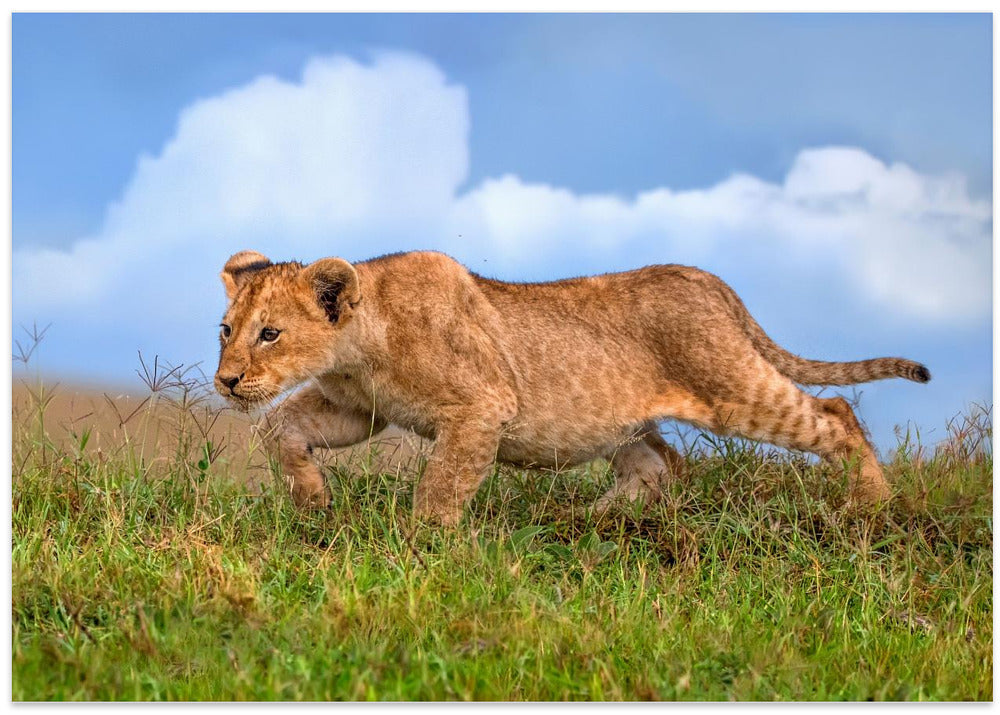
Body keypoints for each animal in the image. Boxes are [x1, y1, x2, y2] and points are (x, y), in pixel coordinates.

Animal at [214, 249, 930, 525]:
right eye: (226, 330)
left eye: (270, 334)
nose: (225, 381)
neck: (361, 343)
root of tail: (713, 283)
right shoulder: (357, 409)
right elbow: (284, 427)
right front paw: (311, 499)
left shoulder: (482, 406)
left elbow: (442, 486)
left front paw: (422, 547)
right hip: (621, 423)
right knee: (659, 465)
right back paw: (586, 520)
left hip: (734, 391)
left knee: (835, 413)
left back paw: (871, 507)